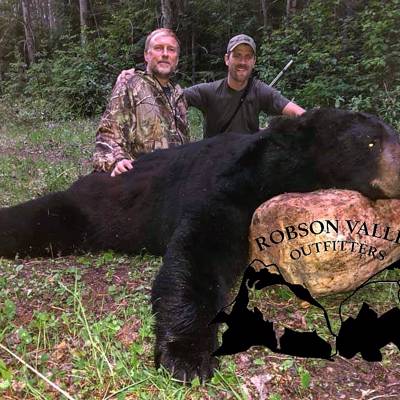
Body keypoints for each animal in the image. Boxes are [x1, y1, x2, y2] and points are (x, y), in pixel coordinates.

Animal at [1, 108, 400, 382]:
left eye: (394, 135)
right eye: (370, 143)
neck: (286, 166)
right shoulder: (236, 186)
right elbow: (201, 249)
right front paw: (187, 355)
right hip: (92, 209)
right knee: (43, 217)